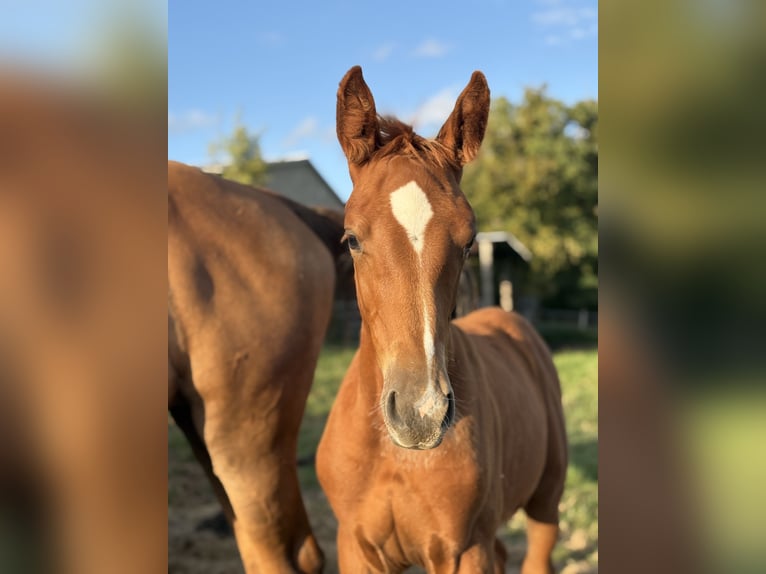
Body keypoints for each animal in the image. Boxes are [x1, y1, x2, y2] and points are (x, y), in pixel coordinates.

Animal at [316, 67, 568, 573]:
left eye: (470, 240)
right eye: (351, 238)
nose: (421, 413)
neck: (394, 457)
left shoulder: (463, 551)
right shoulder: (357, 547)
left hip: (546, 504)